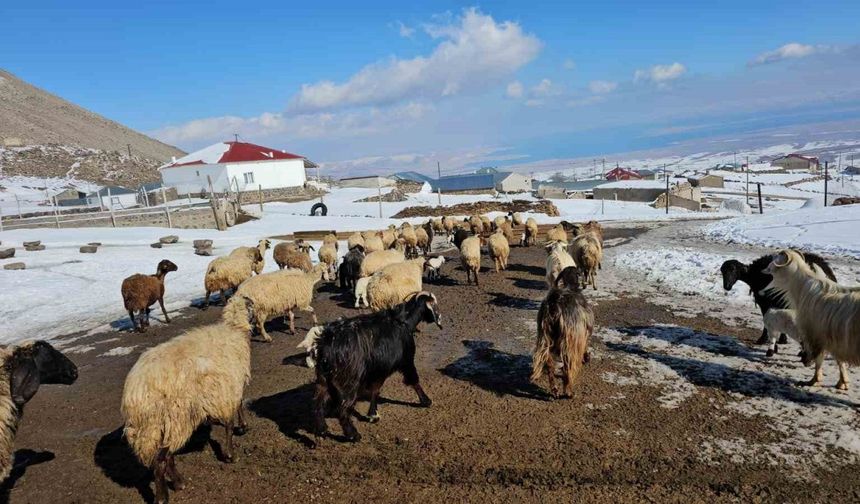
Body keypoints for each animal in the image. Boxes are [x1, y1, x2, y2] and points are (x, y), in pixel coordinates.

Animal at [122, 296, 255, 504]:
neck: (234, 328)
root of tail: (136, 391)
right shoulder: (229, 387)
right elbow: (231, 420)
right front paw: (232, 452)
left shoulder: (226, 390)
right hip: (175, 417)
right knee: (160, 461)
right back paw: (164, 495)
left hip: (158, 426)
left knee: (166, 456)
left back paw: (178, 482)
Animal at [310, 290, 444, 442]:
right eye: (434, 304)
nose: (440, 319)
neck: (403, 321)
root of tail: (328, 342)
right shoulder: (406, 361)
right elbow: (414, 380)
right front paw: (426, 400)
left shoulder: (378, 370)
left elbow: (375, 390)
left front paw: (373, 414)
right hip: (349, 382)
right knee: (343, 409)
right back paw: (353, 435)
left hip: (323, 378)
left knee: (317, 403)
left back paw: (321, 429)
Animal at [532, 266, 592, 400]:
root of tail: (554, 304)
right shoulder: (583, 333)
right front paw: (586, 357)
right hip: (569, 341)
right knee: (567, 367)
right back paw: (568, 392)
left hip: (545, 337)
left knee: (549, 363)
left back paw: (554, 390)